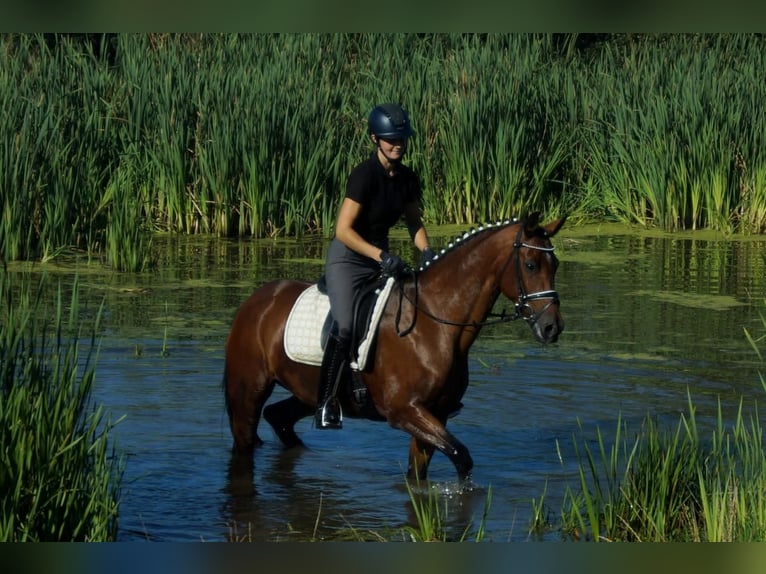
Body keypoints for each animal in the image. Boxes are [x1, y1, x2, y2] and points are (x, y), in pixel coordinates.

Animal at [222, 213, 564, 486]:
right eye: (530, 265)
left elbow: (420, 473)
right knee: (245, 441)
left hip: (307, 393)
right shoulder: (404, 411)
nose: (552, 328)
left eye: (555, 264)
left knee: (278, 417)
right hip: (248, 393)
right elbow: (461, 455)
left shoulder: (436, 413)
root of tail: (257, 301)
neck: (434, 321)